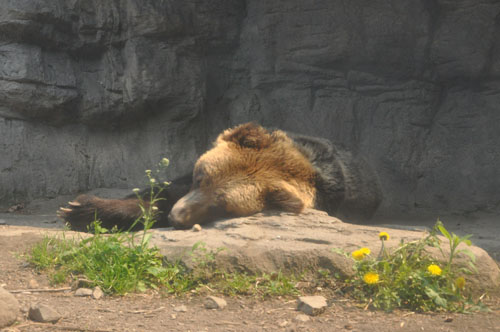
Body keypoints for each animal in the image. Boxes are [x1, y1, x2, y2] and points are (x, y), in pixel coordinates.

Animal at [57, 122, 378, 231]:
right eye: (201, 177)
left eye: (221, 205)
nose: (177, 217)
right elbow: (159, 191)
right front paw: (79, 207)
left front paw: (79, 209)